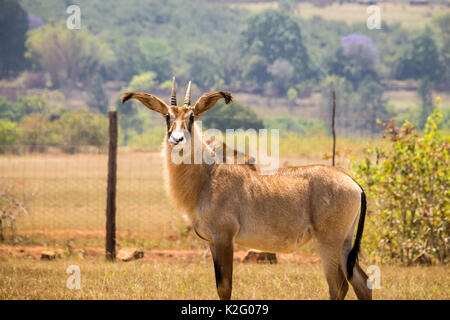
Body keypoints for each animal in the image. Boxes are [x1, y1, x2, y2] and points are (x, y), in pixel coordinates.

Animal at [121, 77, 370, 300]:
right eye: (167, 116)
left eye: (192, 116)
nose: (177, 139)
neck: (207, 177)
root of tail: (354, 184)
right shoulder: (212, 242)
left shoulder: (224, 237)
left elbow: (225, 288)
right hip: (344, 243)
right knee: (361, 282)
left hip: (329, 241)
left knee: (338, 285)